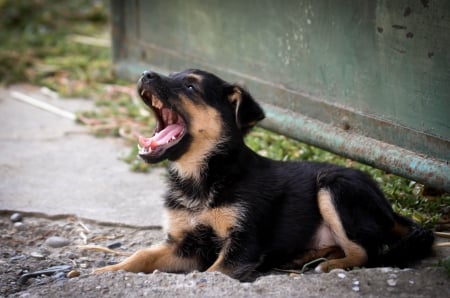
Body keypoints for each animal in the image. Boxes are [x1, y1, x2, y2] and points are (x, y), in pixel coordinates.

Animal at [96, 68, 436, 280]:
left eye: (190, 86)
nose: (145, 74)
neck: (200, 178)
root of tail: (388, 209)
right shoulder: (184, 246)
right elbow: (142, 256)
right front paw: (106, 271)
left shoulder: (243, 246)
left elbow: (213, 273)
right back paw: (304, 257)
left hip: (335, 187)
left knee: (366, 250)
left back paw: (329, 265)